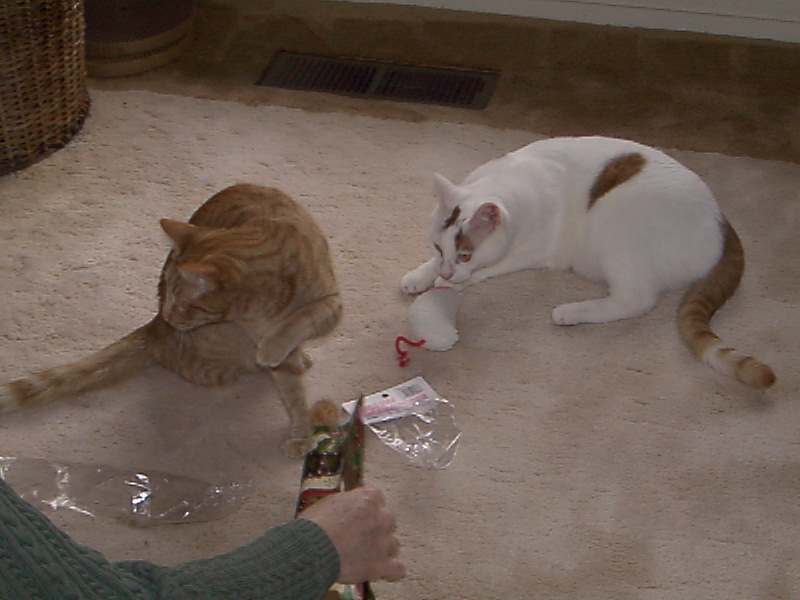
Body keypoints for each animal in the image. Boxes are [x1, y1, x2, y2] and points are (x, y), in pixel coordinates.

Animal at [0, 184, 343, 457]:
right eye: (168, 293)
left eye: (181, 303)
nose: (168, 314)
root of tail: (155, 326)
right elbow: (292, 392)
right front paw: (300, 433)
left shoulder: (332, 305)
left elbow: (303, 323)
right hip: (221, 359)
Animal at [401, 136, 775, 389]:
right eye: (438, 247)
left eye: (466, 254)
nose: (448, 269)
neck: (513, 183)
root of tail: (722, 220)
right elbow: (428, 265)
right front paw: (422, 274)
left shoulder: (535, 253)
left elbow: (487, 270)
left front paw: (448, 281)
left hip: (616, 224)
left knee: (636, 300)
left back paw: (570, 312)